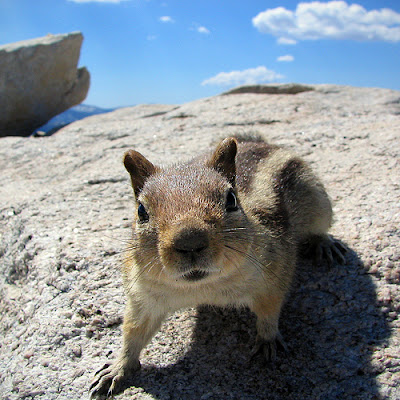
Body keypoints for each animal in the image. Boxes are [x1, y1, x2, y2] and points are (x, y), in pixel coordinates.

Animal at [89, 135, 346, 396]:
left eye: (231, 199)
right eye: (141, 211)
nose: (190, 241)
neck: (202, 287)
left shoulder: (275, 272)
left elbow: (269, 310)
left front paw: (267, 340)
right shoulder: (142, 297)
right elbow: (133, 332)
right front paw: (117, 368)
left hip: (319, 204)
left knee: (319, 229)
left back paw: (325, 244)